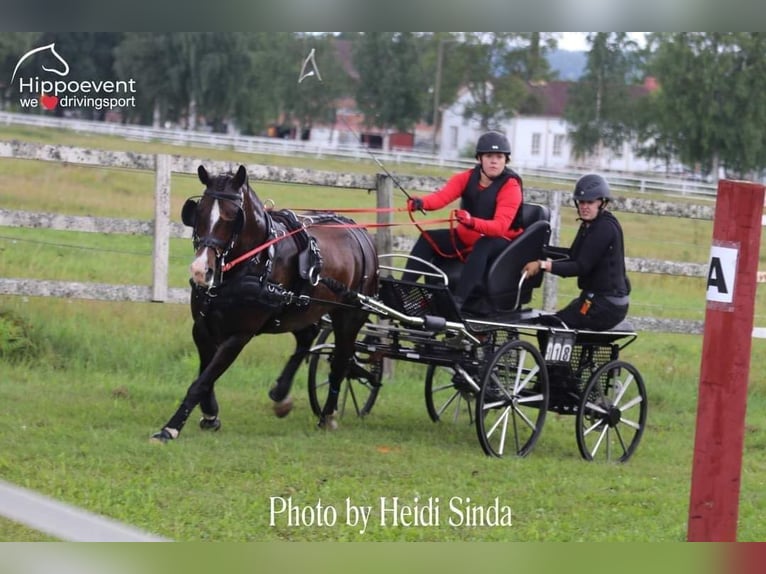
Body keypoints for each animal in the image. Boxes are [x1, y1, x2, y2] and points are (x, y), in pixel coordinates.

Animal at [150, 164, 378, 444]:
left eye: (231, 216)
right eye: (200, 211)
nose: (201, 271)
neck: (253, 260)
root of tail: (361, 233)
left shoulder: (240, 335)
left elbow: (202, 381)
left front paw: (170, 428)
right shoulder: (202, 327)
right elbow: (205, 374)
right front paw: (210, 415)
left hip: (349, 316)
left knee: (341, 361)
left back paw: (327, 415)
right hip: (299, 309)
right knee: (307, 336)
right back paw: (281, 394)